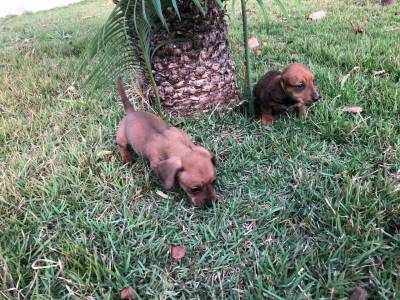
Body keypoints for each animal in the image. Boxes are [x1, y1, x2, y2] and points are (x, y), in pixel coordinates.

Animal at [114, 78, 217, 207]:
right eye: (194, 189)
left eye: (213, 181)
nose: (211, 204)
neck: (171, 143)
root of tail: (131, 112)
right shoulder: (155, 164)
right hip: (122, 138)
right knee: (122, 147)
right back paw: (126, 158)